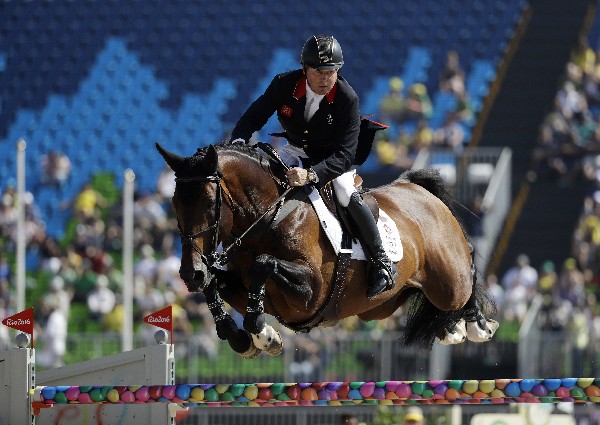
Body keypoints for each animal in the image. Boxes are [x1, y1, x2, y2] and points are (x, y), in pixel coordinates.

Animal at [155, 142, 496, 358]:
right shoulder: (241, 285)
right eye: (174, 203)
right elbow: (218, 283)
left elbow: (263, 264)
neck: (271, 216)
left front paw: (262, 333)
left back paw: (476, 324)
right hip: (380, 307)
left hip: (449, 282)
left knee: (467, 270)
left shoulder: (311, 293)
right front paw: (241, 336)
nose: (191, 274)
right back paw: (450, 327)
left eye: (208, 203)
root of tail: (418, 189)